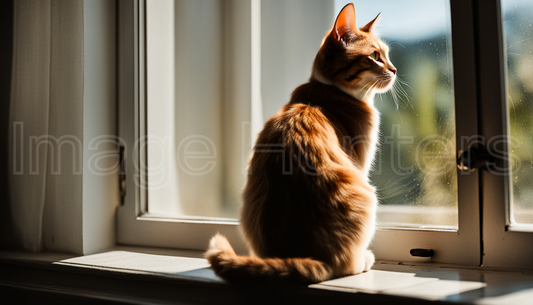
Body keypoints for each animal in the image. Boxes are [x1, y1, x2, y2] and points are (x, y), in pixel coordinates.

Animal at [204, 2, 394, 282]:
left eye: (387, 55)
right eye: (375, 56)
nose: (394, 70)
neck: (330, 90)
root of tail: (309, 257)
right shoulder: (360, 163)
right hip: (367, 195)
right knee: (345, 266)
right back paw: (362, 260)